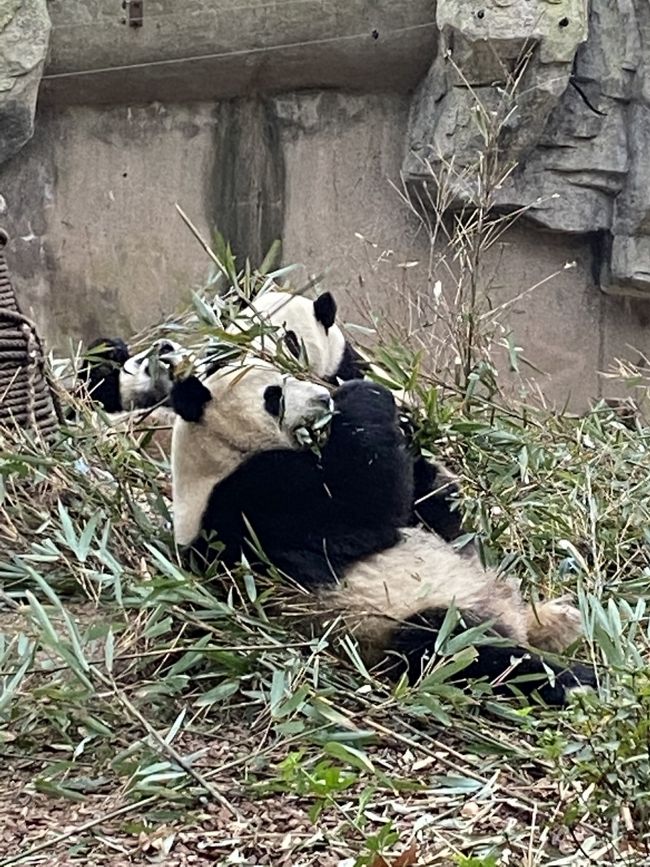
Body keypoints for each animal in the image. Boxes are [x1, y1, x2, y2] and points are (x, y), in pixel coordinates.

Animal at [170, 362, 596, 708]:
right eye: (273, 395)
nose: (323, 398)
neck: (215, 459)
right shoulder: (255, 505)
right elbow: (362, 505)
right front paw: (364, 395)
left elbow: (435, 515)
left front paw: (414, 429)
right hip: (396, 622)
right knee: (464, 650)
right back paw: (574, 682)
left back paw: (565, 622)